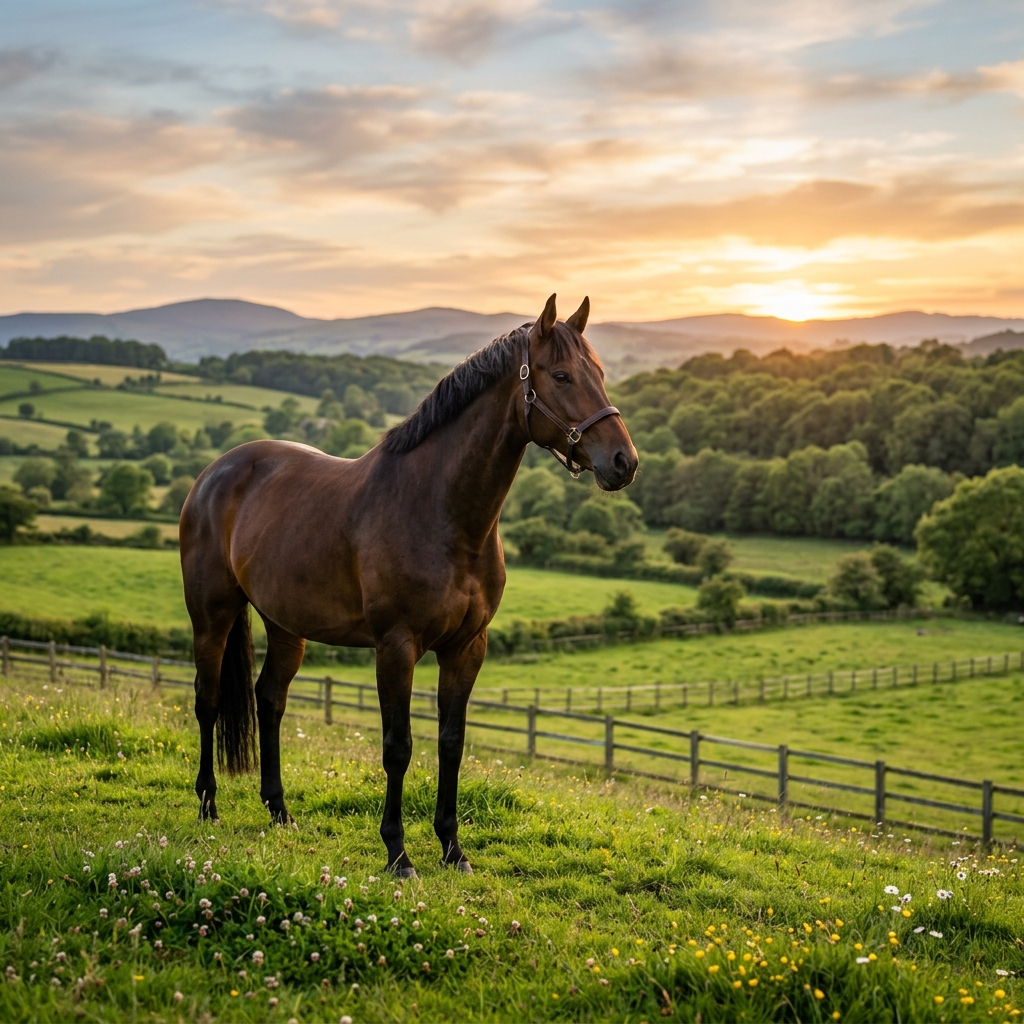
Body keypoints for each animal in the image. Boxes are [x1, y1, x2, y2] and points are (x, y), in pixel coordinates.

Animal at [179, 293, 638, 876]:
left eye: (598, 373)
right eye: (561, 375)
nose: (624, 462)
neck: (439, 511)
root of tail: (215, 473)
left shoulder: (466, 648)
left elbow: (451, 742)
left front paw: (452, 849)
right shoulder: (396, 647)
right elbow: (398, 746)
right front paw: (398, 853)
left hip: (285, 626)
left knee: (270, 700)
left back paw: (279, 810)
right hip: (212, 615)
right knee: (208, 700)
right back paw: (208, 805)